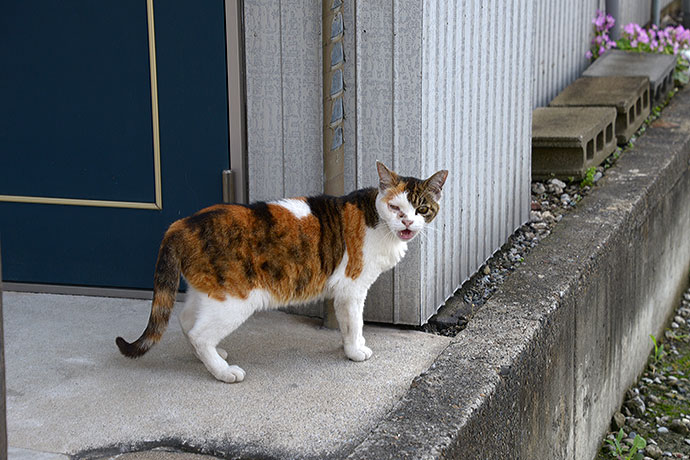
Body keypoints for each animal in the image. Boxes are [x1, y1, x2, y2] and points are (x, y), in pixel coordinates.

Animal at [115, 160, 448, 382]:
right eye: (395, 208)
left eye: (421, 209)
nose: (407, 222)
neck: (376, 220)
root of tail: (182, 224)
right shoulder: (352, 289)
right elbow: (354, 324)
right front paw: (355, 351)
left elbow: (348, 324)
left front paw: (353, 347)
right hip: (234, 299)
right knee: (198, 333)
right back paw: (223, 371)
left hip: (208, 290)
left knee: (186, 321)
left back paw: (213, 358)